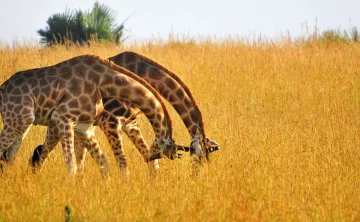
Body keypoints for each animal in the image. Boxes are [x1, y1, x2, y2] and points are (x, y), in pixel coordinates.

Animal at [0, 54, 181, 175]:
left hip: (22, 124)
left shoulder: (84, 126)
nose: (152, 157)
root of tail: (2, 89)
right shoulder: (62, 116)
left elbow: (102, 163)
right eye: (165, 147)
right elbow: (72, 164)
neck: (103, 82)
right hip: (19, 119)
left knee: (9, 156)